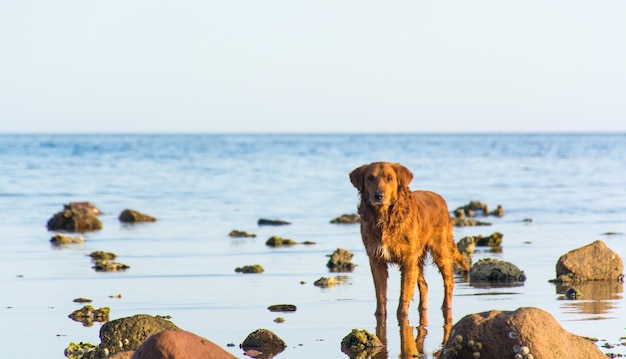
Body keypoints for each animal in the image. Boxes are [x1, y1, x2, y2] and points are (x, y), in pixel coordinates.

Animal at [348, 162, 466, 320]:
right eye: (370, 178)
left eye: (389, 178)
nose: (378, 196)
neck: (384, 218)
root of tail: (439, 198)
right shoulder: (376, 259)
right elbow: (381, 295)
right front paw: (380, 314)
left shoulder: (408, 259)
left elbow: (404, 293)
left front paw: (401, 316)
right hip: (418, 258)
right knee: (424, 285)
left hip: (440, 250)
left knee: (449, 281)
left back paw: (445, 307)